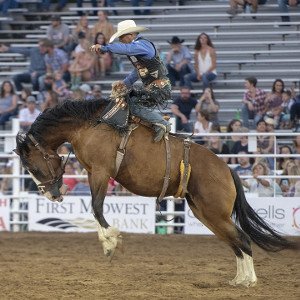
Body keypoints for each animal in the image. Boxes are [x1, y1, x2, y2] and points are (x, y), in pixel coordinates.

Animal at [14, 98, 298, 286]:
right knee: (235, 241)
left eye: (33, 167)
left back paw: (249, 280)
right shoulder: (96, 173)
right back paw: (239, 279)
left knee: (243, 239)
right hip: (206, 213)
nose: (51, 195)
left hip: (214, 212)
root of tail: (227, 169)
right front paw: (109, 243)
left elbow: (96, 207)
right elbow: (95, 209)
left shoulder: (100, 172)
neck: (90, 125)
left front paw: (111, 243)